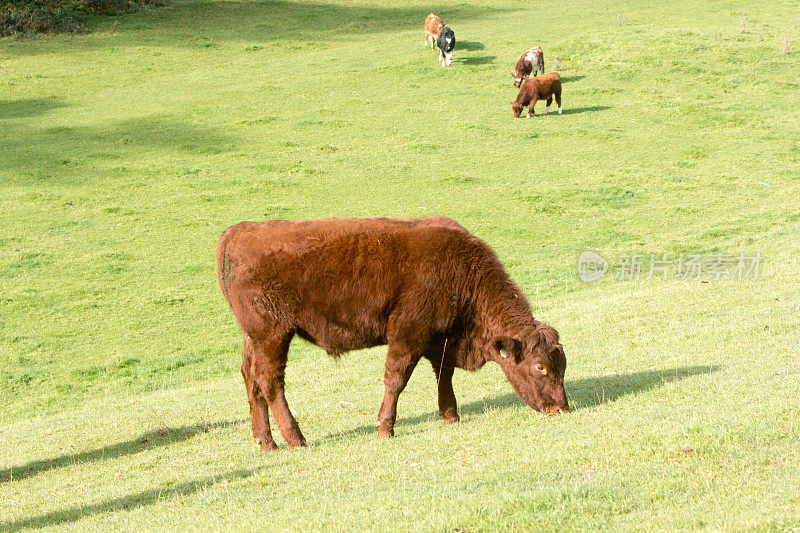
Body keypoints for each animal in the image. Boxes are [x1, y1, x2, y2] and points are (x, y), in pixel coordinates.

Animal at [217, 216, 568, 448]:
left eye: (563, 366)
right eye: (540, 366)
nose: (561, 409)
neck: (461, 270)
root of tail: (237, 232)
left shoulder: (440, 339)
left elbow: (444, 374)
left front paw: (450, 416)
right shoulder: (407, 334)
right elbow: (396, 379)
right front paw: (385, 428)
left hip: (254, 339)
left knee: (251, 379)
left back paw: (266, 442)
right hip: (273, 335)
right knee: (270, 382)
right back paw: (296, 439)